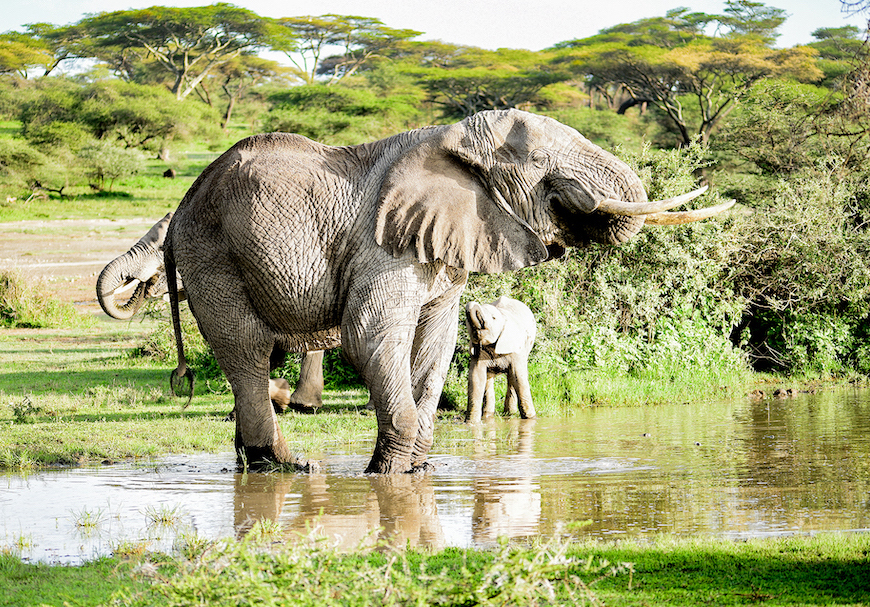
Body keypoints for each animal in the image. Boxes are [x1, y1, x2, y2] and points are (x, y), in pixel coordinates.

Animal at [159, 108, 733, 473]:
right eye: (537, 162)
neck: (452, 141)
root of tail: (182, 204)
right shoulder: (383, 243)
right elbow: (370, 338)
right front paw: (388, 476)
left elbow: (436, 343)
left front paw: (418, 469)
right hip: (212, 255)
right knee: (247, 350)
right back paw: (288, 466)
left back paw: (256, 464)